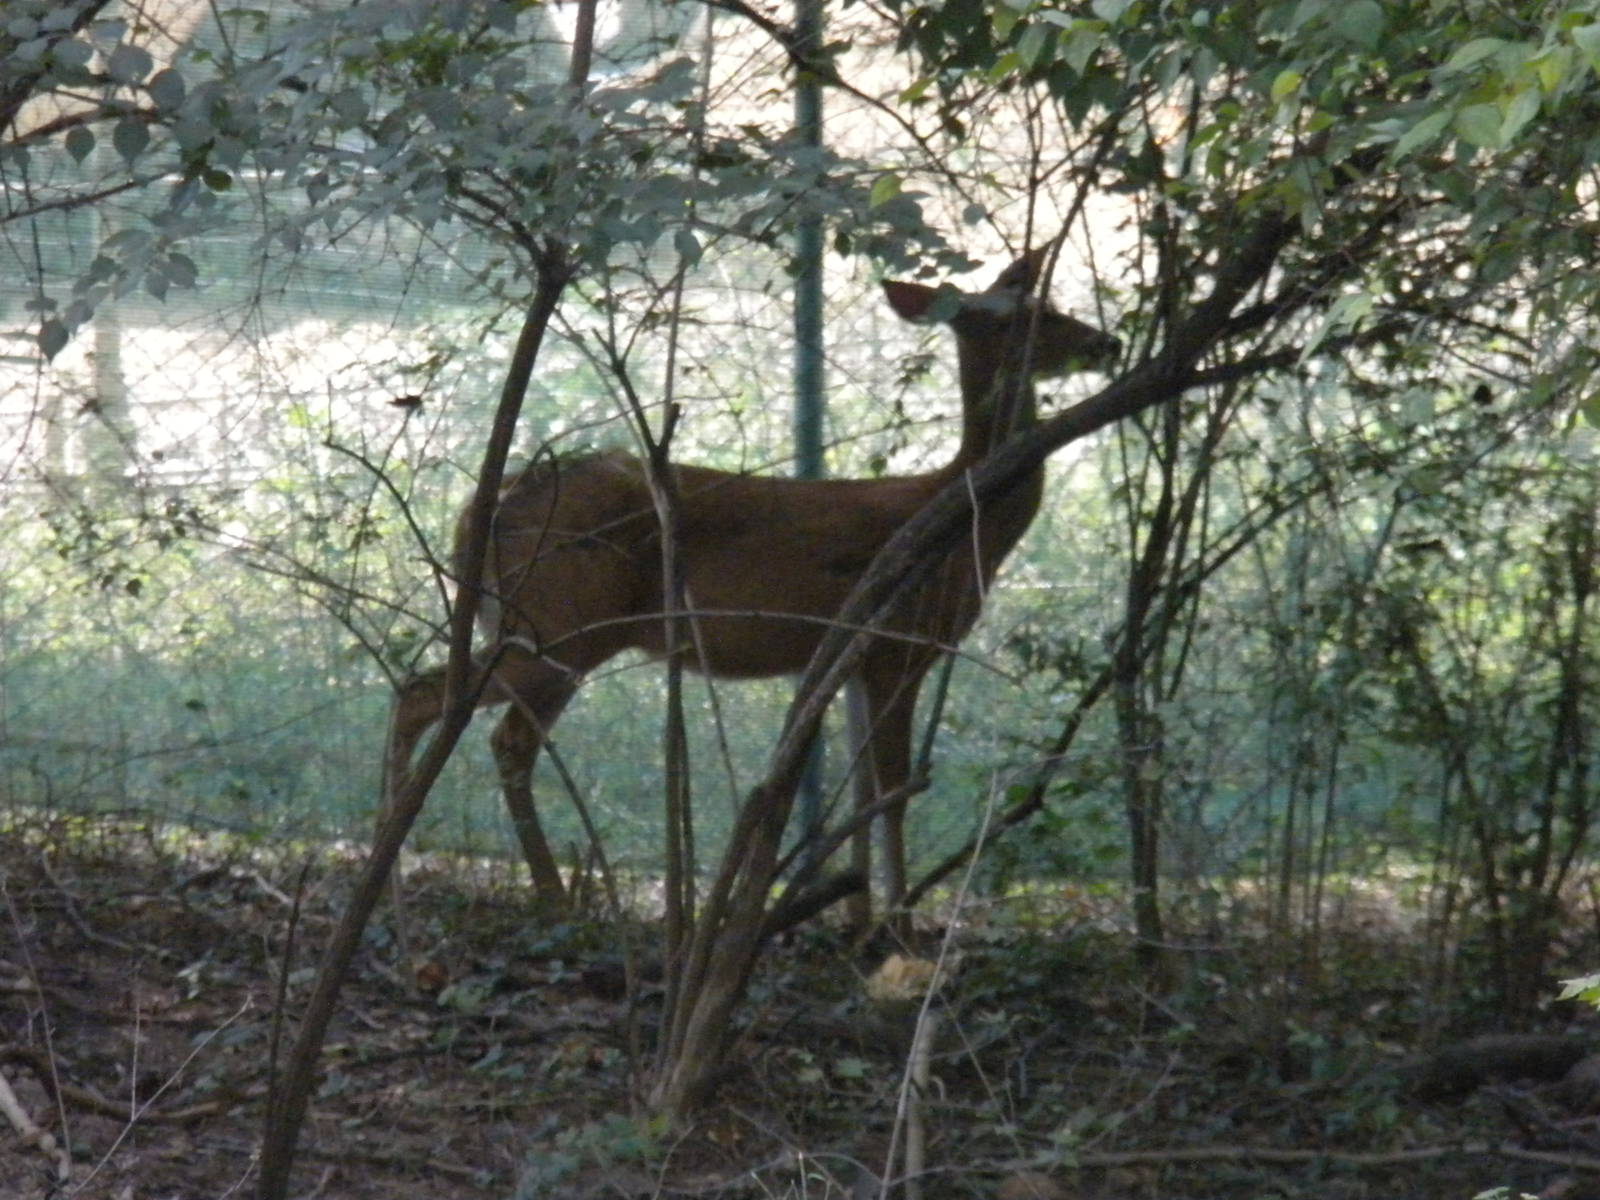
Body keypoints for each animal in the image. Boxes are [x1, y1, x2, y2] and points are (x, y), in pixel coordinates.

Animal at [383, 245, 1119, 927]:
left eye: (1049, 304)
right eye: (1028, 317)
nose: (1105, 343)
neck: (961, 514)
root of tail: (480, 509)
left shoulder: (855, 658)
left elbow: (857, 790)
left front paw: (852, 917)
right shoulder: (896, 643)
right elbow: (892, 789)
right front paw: (898, 927)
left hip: (542, 625)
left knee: (438, 703)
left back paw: (396, 851)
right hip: (559, 621)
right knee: (484, 727)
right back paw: (540, 893)